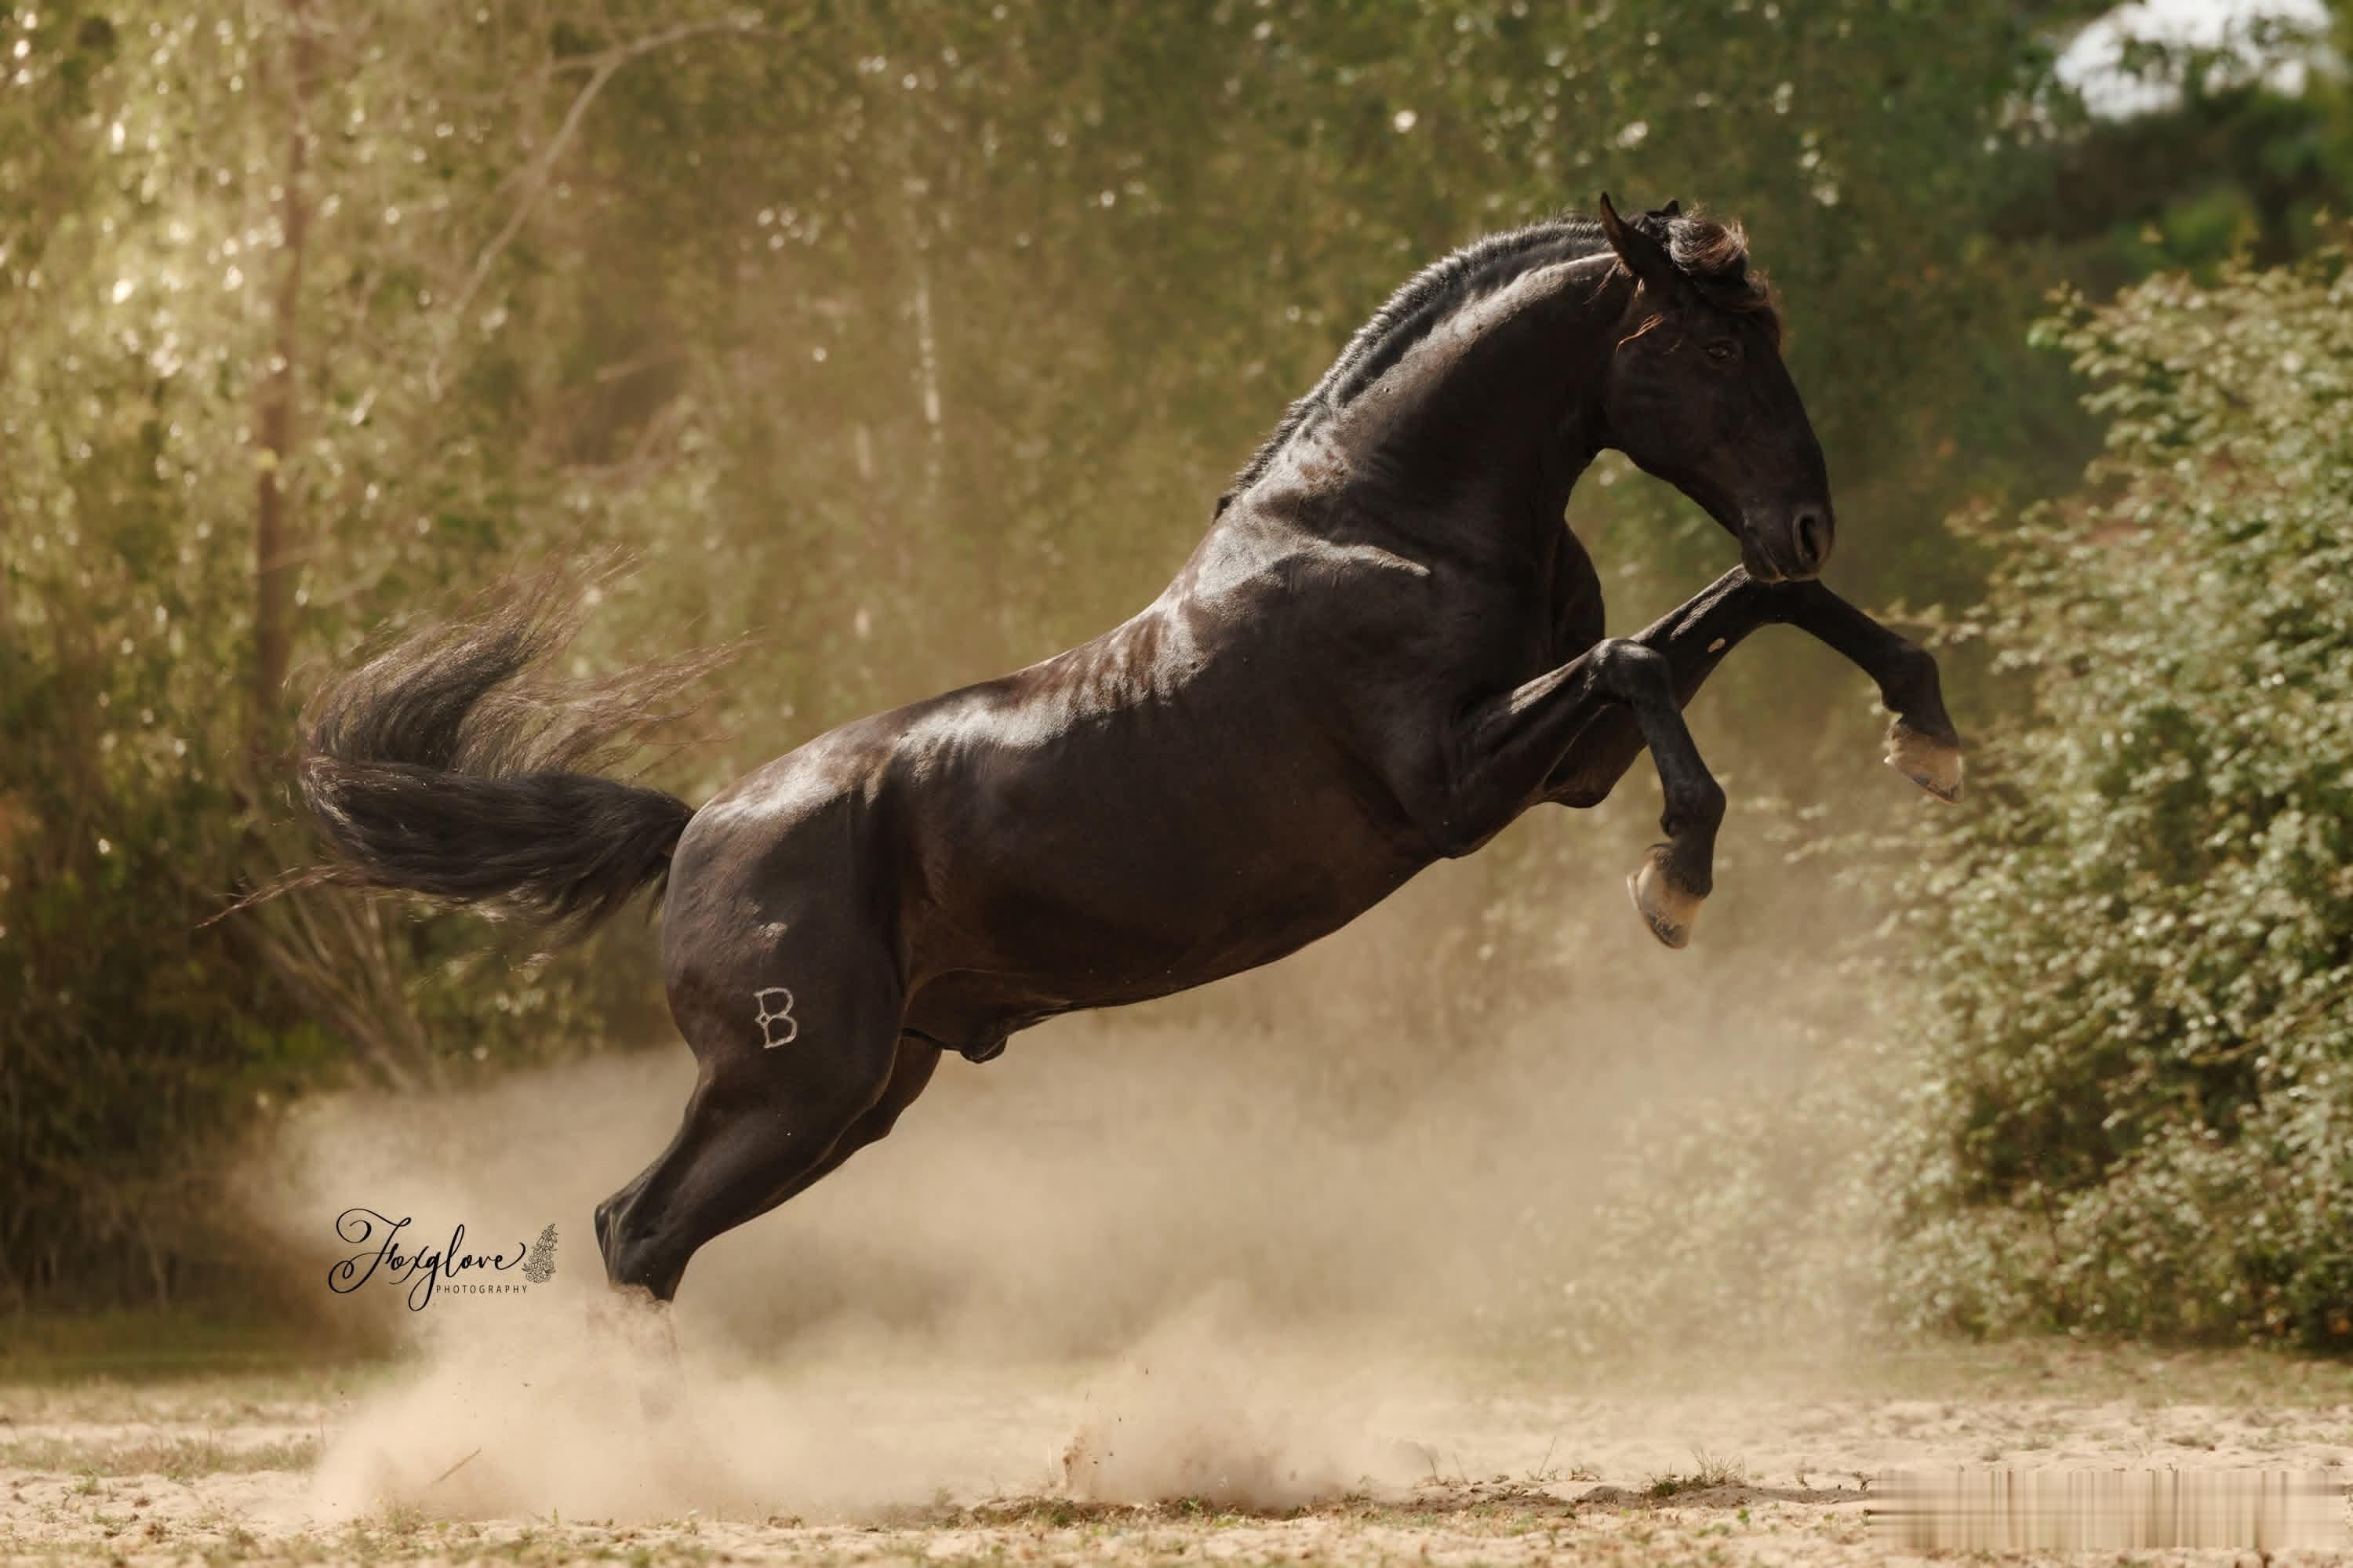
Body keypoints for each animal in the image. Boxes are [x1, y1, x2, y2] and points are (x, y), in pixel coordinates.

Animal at [292, 195, 1963, 1305]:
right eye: (1706, 345)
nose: (1810, 512)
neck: (1387, 520)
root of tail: (699, 826)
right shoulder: (1458, 785)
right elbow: (1648, 658)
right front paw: (1679, 878)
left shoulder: (1564, 766)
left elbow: (1740, 610)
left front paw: (1928, 728)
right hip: (791, 1087)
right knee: (636, 1228)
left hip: (859, 1091)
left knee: (648, 1233)